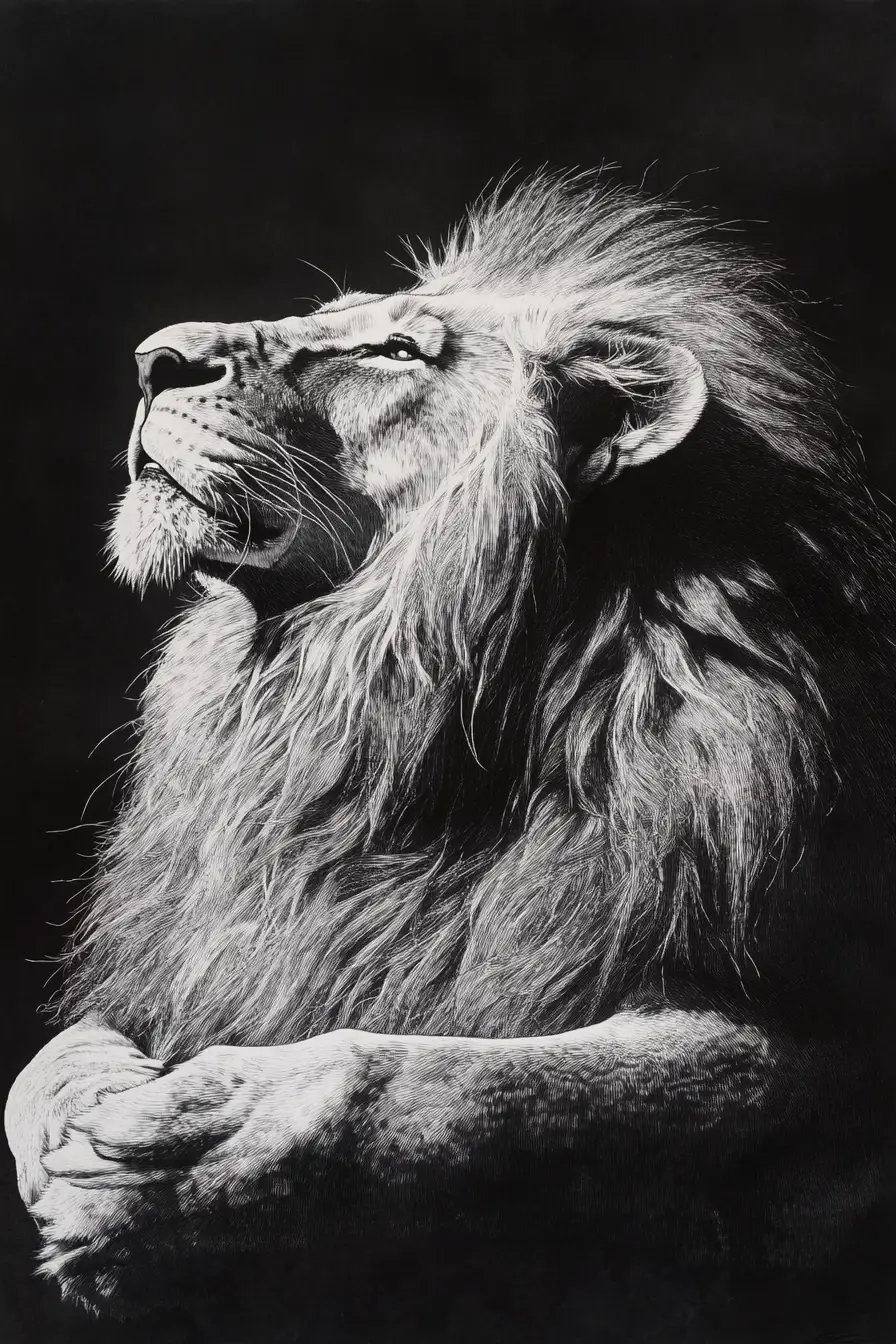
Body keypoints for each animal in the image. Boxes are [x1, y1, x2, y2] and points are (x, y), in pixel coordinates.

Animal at [6, 172, 896, 1330]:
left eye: (395, 352)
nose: (154, 360)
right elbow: (44, 1063)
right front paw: (77, 1120)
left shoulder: (796, 1048)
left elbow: (436, 1074)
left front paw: (203, 1149)